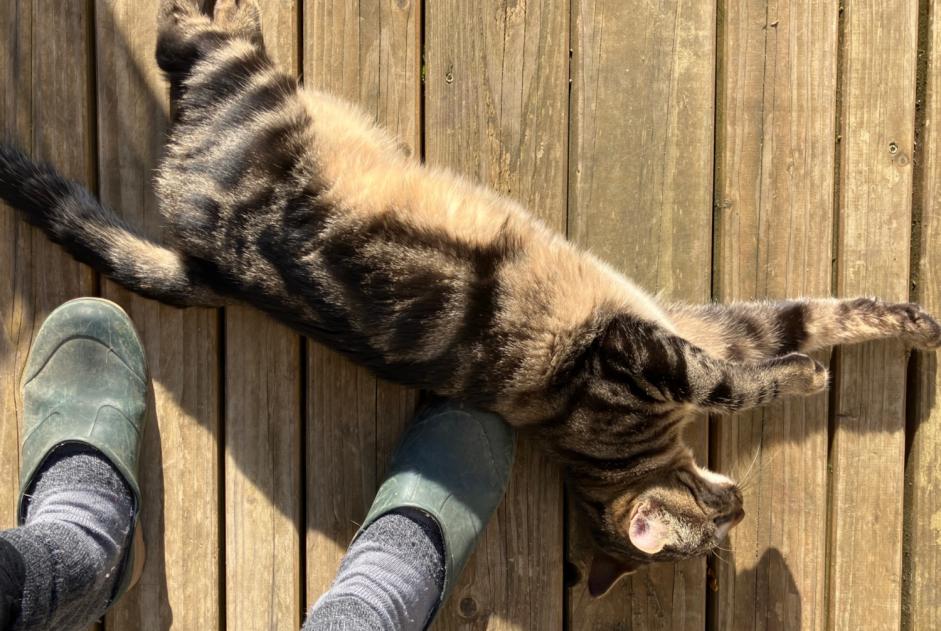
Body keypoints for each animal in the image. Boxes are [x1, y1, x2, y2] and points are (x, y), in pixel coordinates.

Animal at [0, 0, 936, 596]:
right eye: (715, 524)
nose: (740, 502)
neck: (617, 446)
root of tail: (211, 267)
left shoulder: (695, 322)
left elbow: (806, 313)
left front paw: (912, 323)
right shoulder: (644, 350)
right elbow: (743, 376)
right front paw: (807, 377)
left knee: (174, 51)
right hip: (254, 96)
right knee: (189, 37)